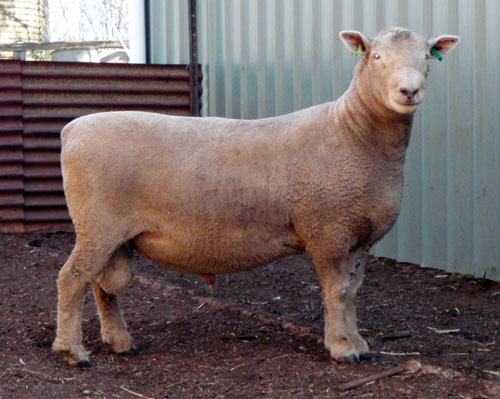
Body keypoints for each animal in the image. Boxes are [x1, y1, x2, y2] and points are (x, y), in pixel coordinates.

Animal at [52, 26, 458, 368]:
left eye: (427, 56)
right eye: (375, 56)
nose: (409, 91)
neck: (352, 132)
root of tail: (71, 130)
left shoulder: (361, 238)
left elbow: (354, 292)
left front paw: (357, 342)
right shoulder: (327, 230)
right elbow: (337, 292)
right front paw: (342, 348)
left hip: (113, 234)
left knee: (100, 285)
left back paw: (119, 341)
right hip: (98, 224)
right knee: (71, 279)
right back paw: (73, 351)